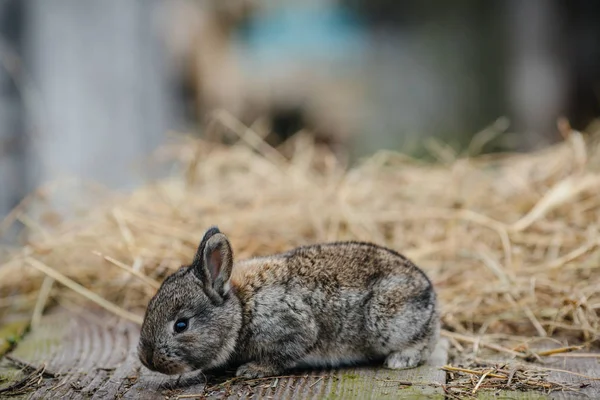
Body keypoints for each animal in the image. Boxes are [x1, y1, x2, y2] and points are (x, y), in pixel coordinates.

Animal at [138, 225, 438, 378]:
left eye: (181, 325)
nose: (147, 360)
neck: (242, 312)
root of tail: (429, 292)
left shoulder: (293, 328)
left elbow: (282, 355)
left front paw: (251, 370)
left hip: (388, 320)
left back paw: (400, 360)